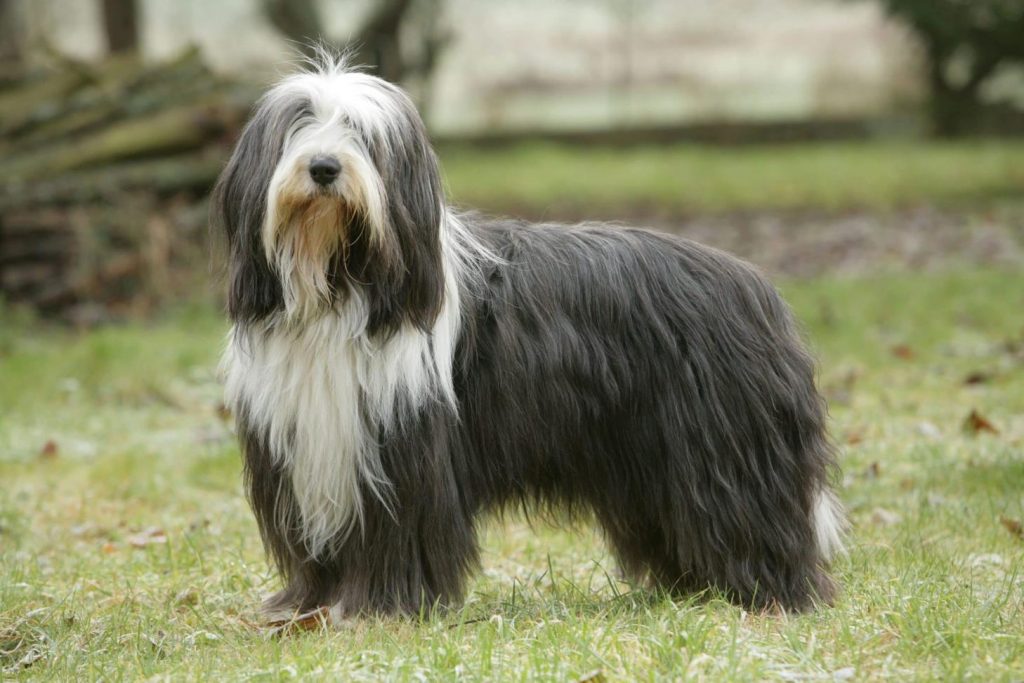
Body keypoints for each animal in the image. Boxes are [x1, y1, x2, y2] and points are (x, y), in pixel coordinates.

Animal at [211, 58, 843, 622]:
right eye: (298, 125)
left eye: (363, 137)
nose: (322, 167)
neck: (339, 287)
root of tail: (756, 286)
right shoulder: (308, 447)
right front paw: (307, 605)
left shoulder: (402, 449)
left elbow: (398, 533)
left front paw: (377, 608)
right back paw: (695, 588)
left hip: (724, 447)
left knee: (751, 517)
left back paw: (768, 593)